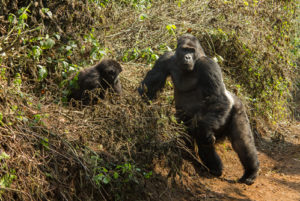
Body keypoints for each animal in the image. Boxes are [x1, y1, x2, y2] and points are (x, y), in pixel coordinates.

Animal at [138, 33, 258, 185]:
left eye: (191, 50)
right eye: (185, 49)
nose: (187, 57)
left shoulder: (208, 65)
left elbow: (217, 97)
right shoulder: (165, 59)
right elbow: (150, 85)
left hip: (236, 108)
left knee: (241, 142)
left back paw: (250, 172)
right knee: (194, 135)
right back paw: (211, 166)